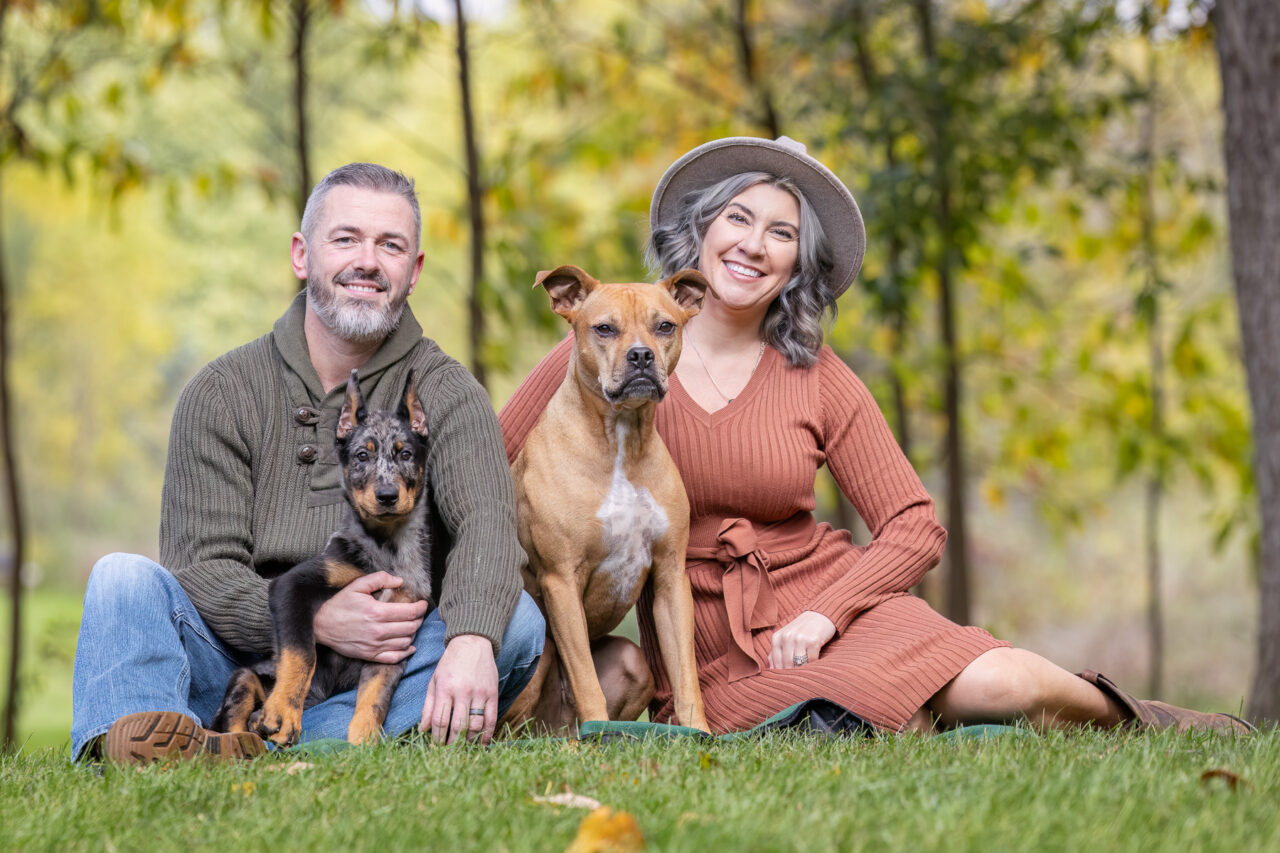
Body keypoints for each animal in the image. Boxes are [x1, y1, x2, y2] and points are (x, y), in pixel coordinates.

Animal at [215, 368, 435, 742]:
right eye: (362, 456)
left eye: (406, 455)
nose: (387, 495)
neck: (385, 546)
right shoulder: (291, 587)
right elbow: (302, 653)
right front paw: (282, 714)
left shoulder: (396, 633)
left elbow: (376, 693)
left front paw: (364, 741)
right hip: (245, 678)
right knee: (234, 713)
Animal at [504, 266, 716, 732]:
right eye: (604, 328)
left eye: (665, 326)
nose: (641, 357)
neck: (621, 439)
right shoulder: (561, 580)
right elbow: (585, 677)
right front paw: (599, 732)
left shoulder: (671, 576)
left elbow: (686, 675)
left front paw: (700, 735)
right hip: (536, 664)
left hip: (635, 665)